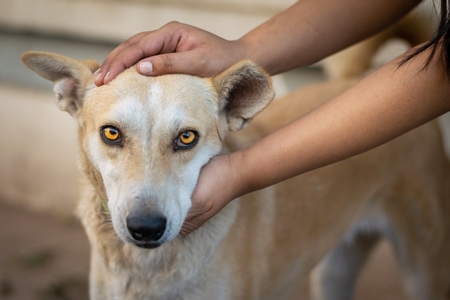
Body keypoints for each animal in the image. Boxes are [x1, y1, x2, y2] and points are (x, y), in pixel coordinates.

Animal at [22, 50, 450, 298]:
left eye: (187, 137)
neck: (152, 270)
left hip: (424, 266)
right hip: (335, 271)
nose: (146, 228)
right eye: (111, 133)